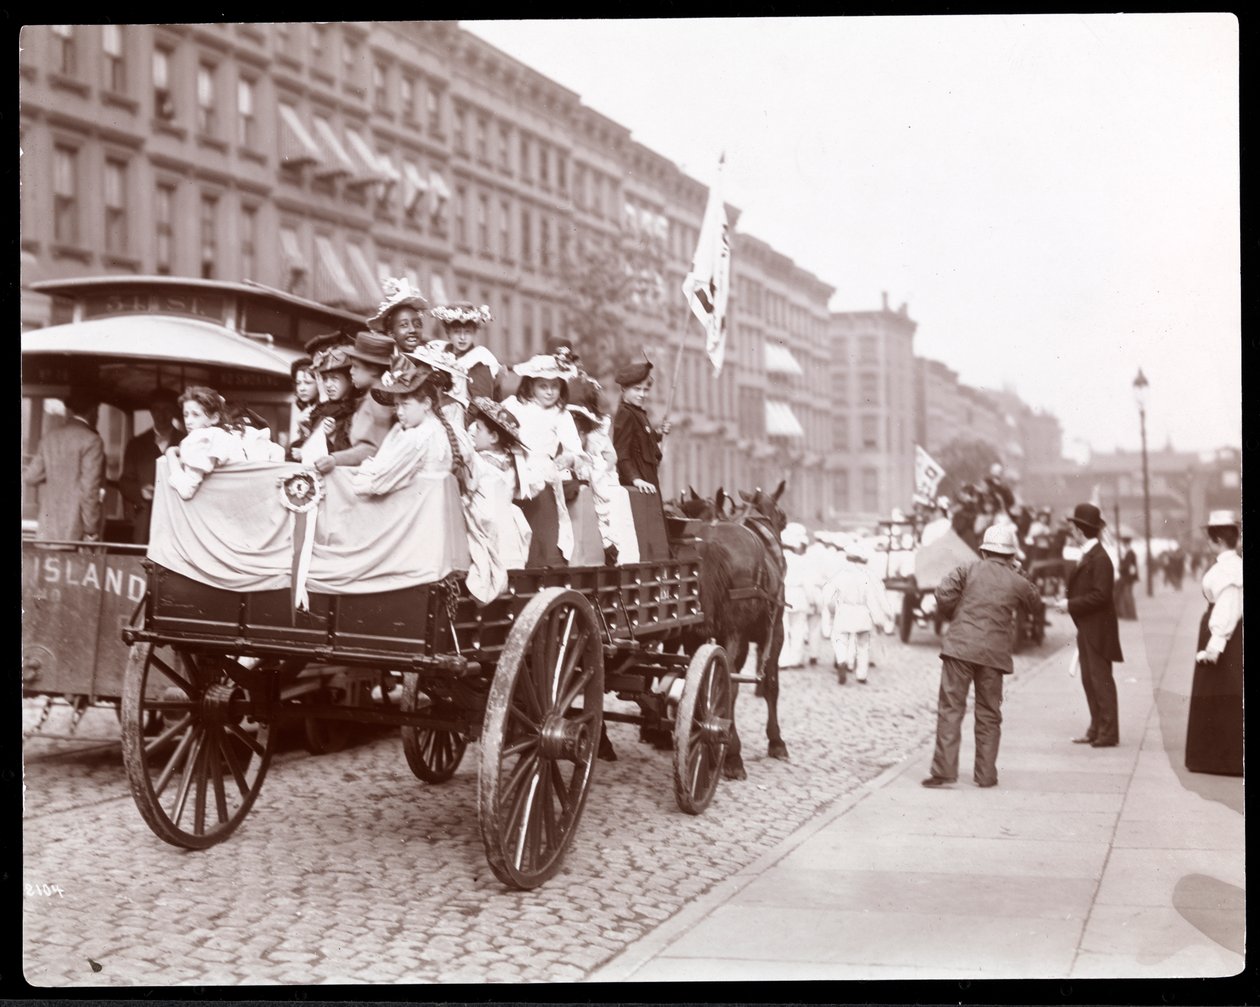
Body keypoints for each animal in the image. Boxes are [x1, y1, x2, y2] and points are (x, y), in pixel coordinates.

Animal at [680, 481, 786, 781]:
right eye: (782, 517)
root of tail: (710, 541)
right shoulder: (775, 632)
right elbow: (771, 684)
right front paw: (776, 741)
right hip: (735, 634)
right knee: (729, 684)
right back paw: (731, 754)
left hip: (694, 635)